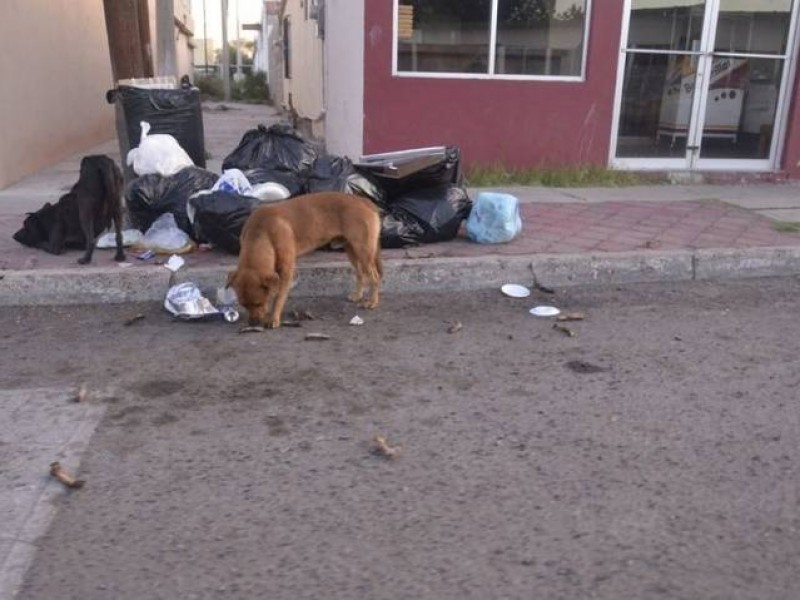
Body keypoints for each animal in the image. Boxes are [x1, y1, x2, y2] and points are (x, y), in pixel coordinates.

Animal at [227, 192, 382, 328]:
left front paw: (274, 318)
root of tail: (363, 200)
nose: (253, 324)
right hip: (351, 249)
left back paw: (373, 302)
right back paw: (358, 295)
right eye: (243, 305)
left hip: (363, 251)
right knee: (360, 273)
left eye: (259, 303)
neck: (261, 233)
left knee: (374, 277)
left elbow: (278, 298)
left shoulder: (286, 271)